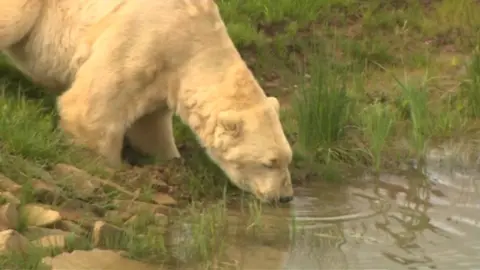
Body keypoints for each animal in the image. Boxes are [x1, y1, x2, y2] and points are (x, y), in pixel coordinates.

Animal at [0, 0, 294, 202]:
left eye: (286, 158)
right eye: (269, 162)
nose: (286, 197)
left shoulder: (163, 77)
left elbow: (150, 127)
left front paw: (168, 161)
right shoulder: (142, 40)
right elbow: (90, 107)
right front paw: (109, 168)